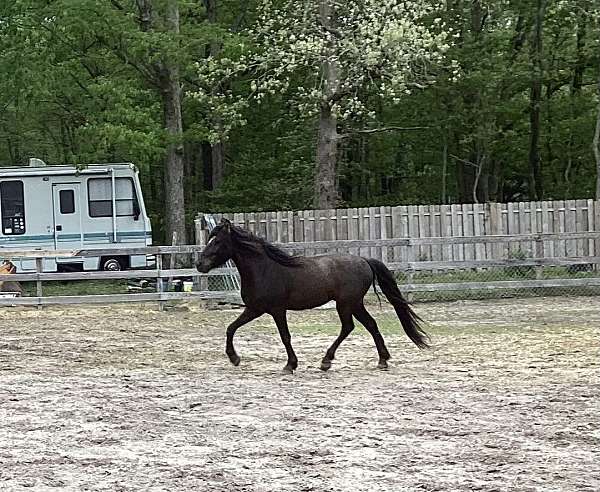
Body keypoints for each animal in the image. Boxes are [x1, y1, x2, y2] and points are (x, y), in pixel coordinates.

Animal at [196, 219, 426, 372]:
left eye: (217, 242)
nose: (199, 264)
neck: (265, 269)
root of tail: (364, 260)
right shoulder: (254, 309)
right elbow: (231, 328)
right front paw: (234, 358)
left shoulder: (276, 310)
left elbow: (285, 336)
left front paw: (290, 365)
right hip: (354, 304)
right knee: (369, 325)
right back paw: (382, 360)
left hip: (346, 304)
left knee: (349, 327)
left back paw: (327, 361)